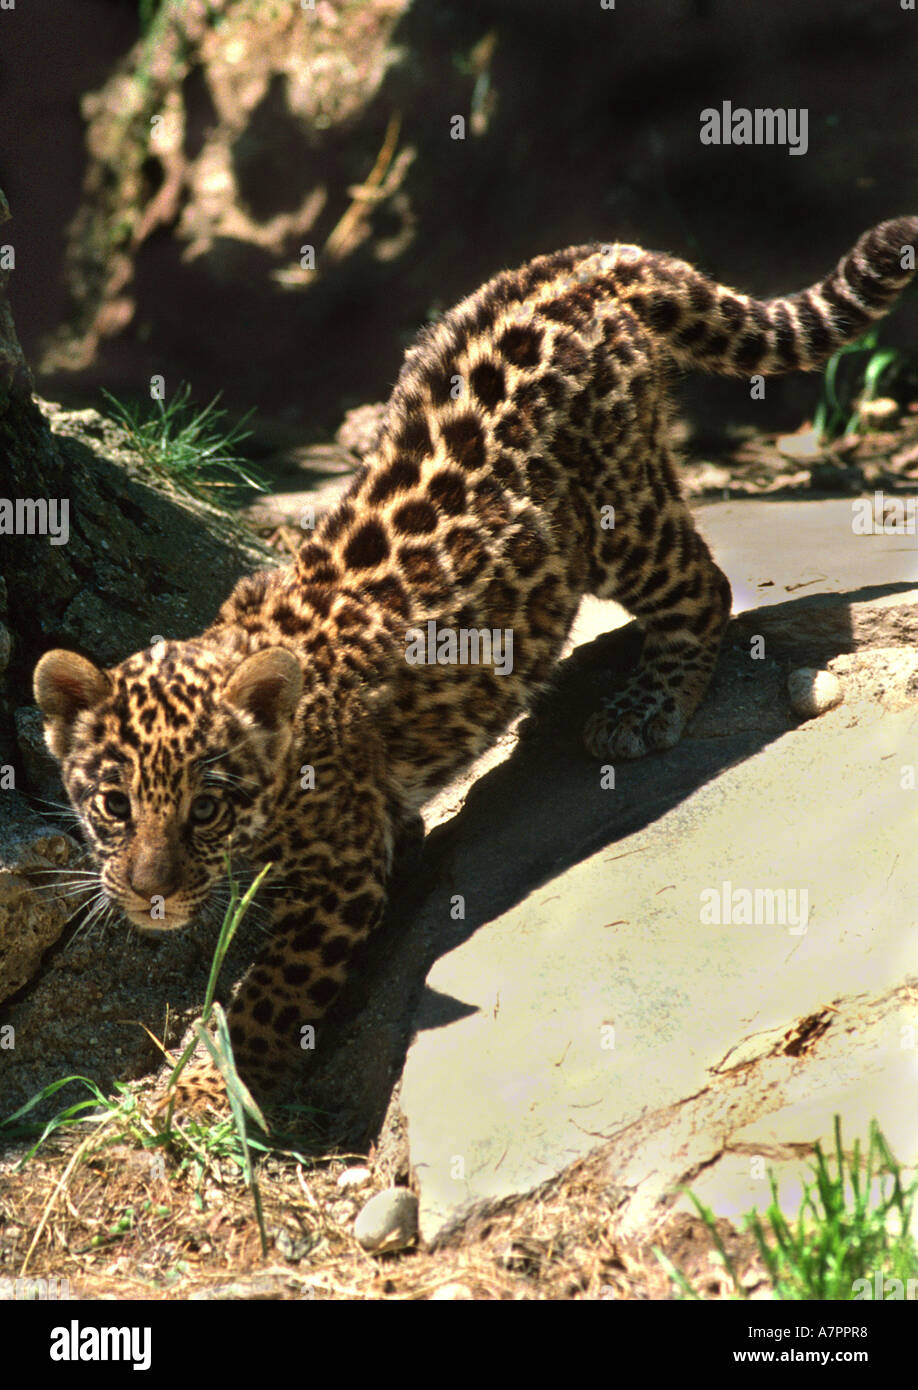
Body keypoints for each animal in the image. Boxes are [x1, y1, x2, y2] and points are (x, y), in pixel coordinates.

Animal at [34, 217, 918, 1097]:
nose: (149, 894)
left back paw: (645, 706)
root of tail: (590, 260)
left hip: (618, 515)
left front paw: (215, 1090)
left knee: (704, 583)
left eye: (206, 807)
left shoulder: (345, 868)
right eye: (113, 805)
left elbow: (274, 991)